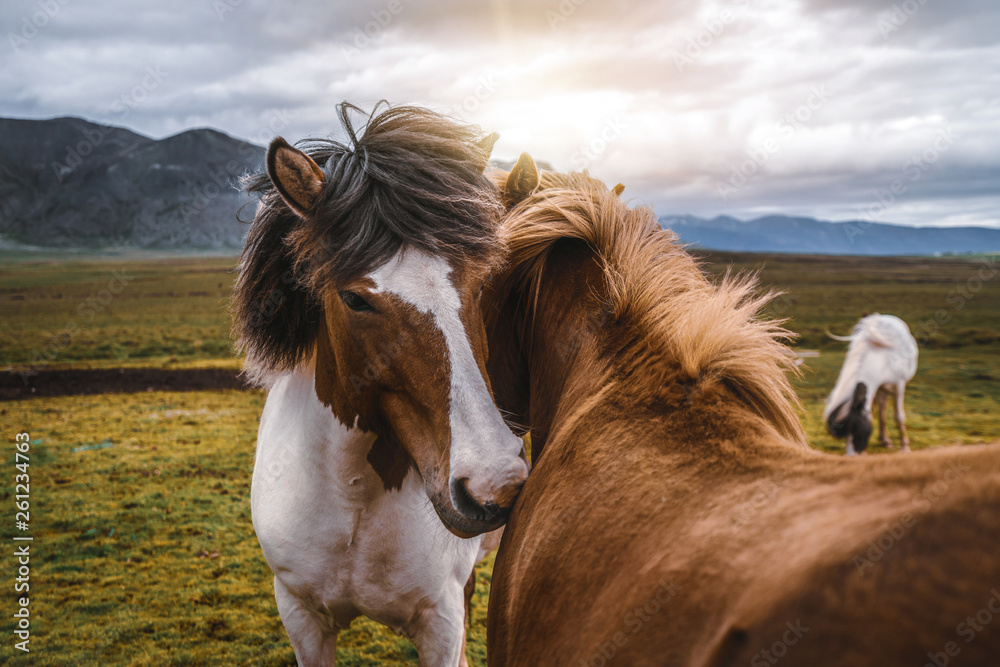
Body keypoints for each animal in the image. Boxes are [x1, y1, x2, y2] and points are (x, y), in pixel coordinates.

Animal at [232, 102, 532, 664]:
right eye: (354, 299)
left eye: (485, 281)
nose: (495, 482)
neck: (354, 498)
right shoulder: (301, 617)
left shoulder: (441, 624)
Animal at [824, 314, 916, 454]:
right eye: (844, 435)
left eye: (857, 430)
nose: (852, 455)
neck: (883, 357)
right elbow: (875, 414)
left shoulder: (899, 385)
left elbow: (899, 416)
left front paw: (905, 447)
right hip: (880, 388)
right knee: (882, 410)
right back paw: (885, 440)